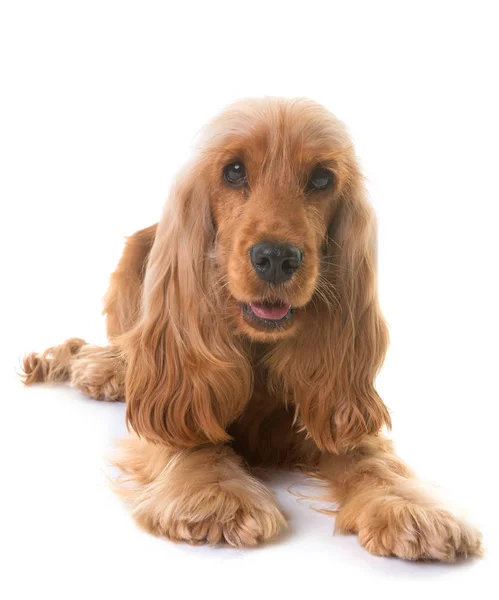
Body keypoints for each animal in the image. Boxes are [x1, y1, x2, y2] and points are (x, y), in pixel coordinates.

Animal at [20, 96, 484, 560]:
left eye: (322, 178)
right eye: (234, 171)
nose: (276, 258)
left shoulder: (333, 404)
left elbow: (371, 456)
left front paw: (409, 507)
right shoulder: (179, 393)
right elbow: (191, 437)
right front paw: (215, 495)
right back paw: (105, 370)